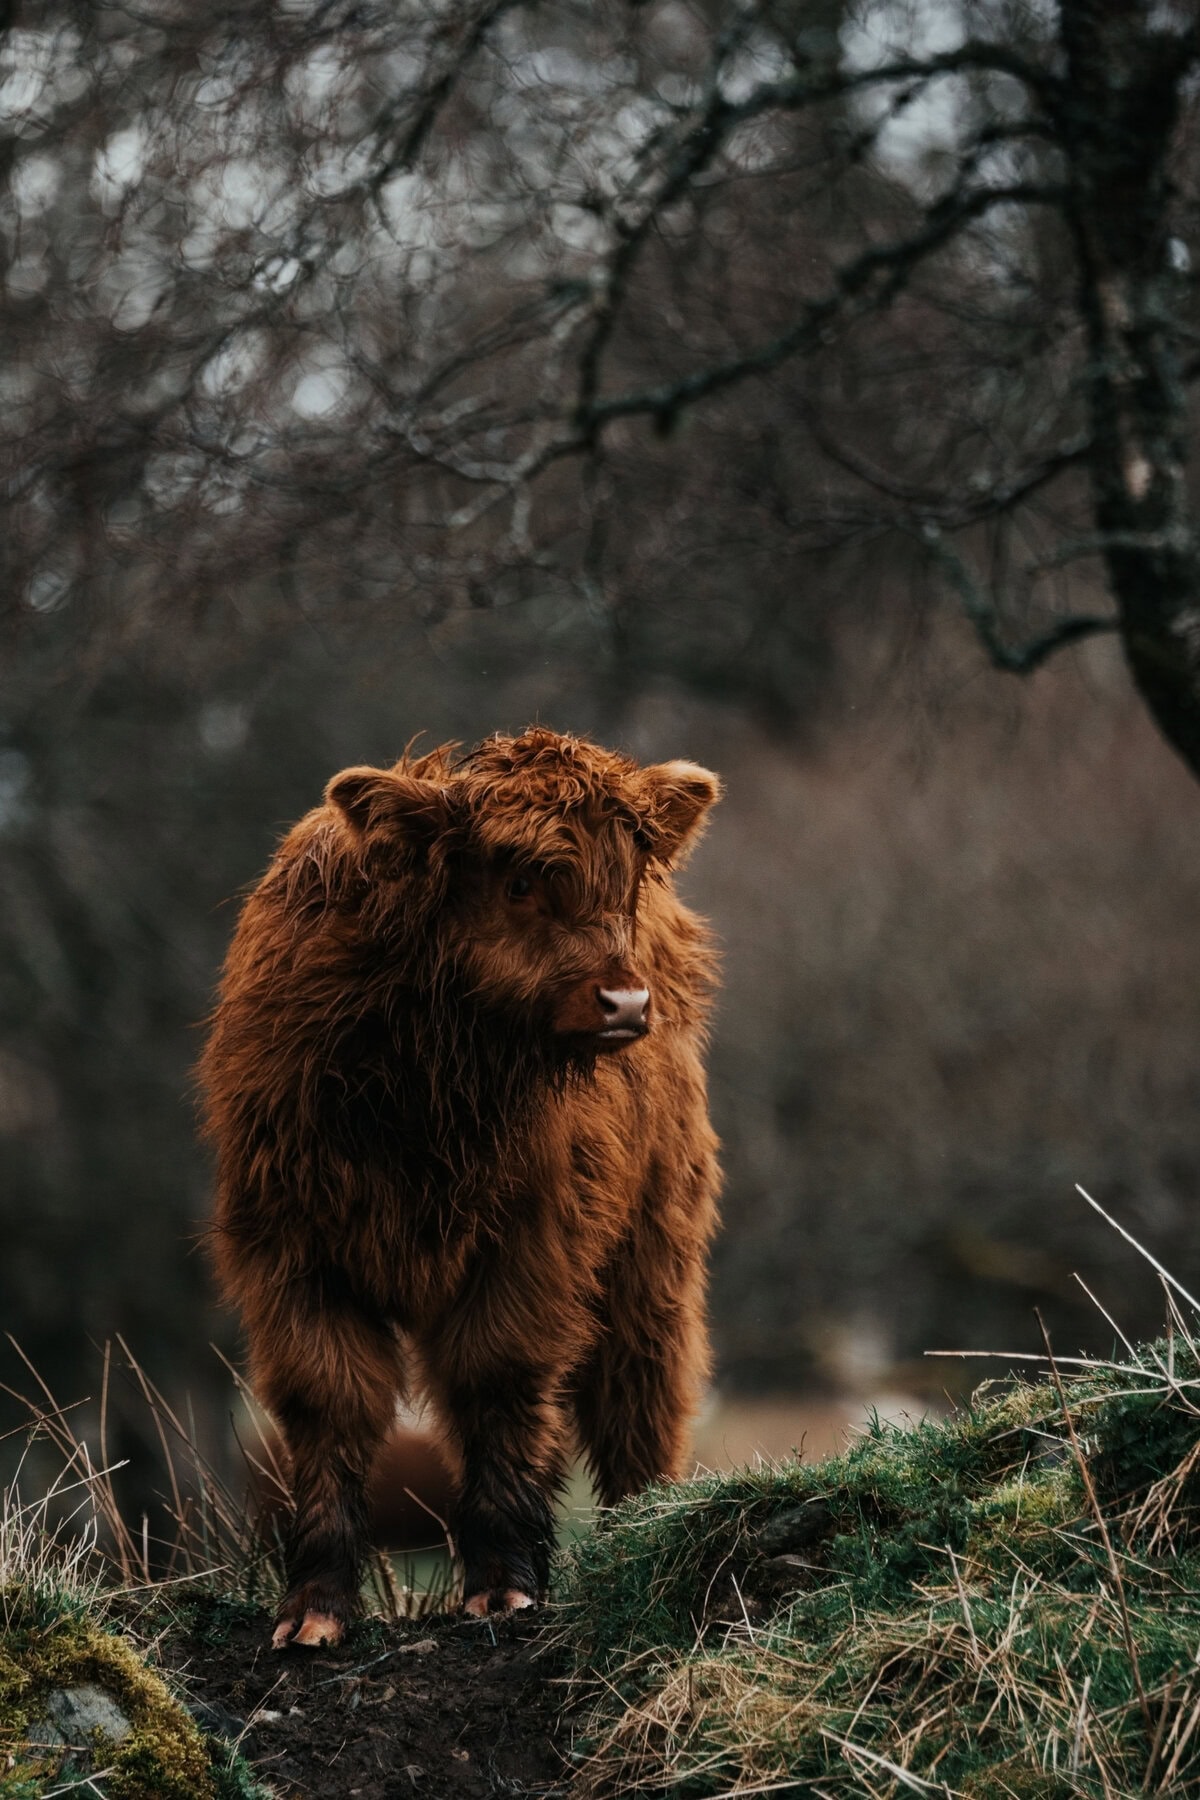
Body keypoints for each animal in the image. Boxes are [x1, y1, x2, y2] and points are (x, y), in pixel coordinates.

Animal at [200, 727, 721, 1649]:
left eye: (624, 879)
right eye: (518, 881)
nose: (626, 1003)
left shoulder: (534, 1241)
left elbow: (496, 1378)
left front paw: (503, 1583)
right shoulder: (289, 1247)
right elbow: (329, 1398)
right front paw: (313, 1606)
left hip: (655, 1244)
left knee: (639, 1394)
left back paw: (645, 1532)